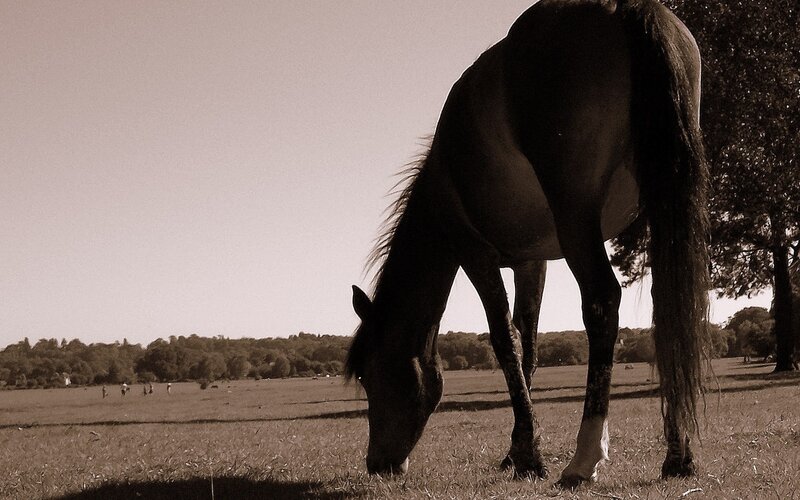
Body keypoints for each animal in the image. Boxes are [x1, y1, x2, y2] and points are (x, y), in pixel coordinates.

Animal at [346, 0, 710, 486]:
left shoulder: (475, 255)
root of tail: (627, 9)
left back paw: (584, 459)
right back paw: (678, 455)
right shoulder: (531, 263)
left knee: (601, 302)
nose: (379, 464)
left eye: (369, 375)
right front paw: (517, 450)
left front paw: (528, 457)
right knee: (670, 310)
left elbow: (505, 342)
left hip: (576, 217)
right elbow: (529, 346)